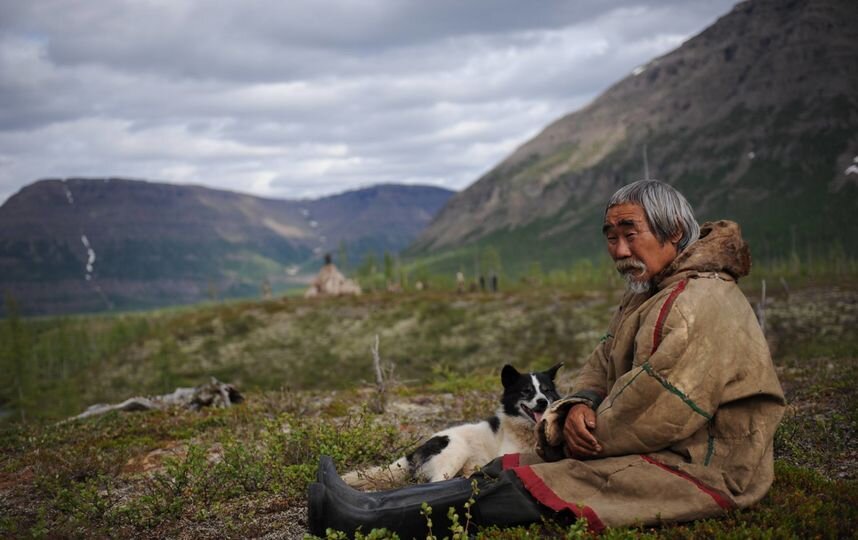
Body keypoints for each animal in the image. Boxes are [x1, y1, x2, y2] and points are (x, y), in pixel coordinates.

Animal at [342, 362, 560, 490]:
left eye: (547, 390)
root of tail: (413, 453)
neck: (525, 430)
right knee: (435, 482)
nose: (543, 402)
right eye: (526, 391)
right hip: (456, 451)